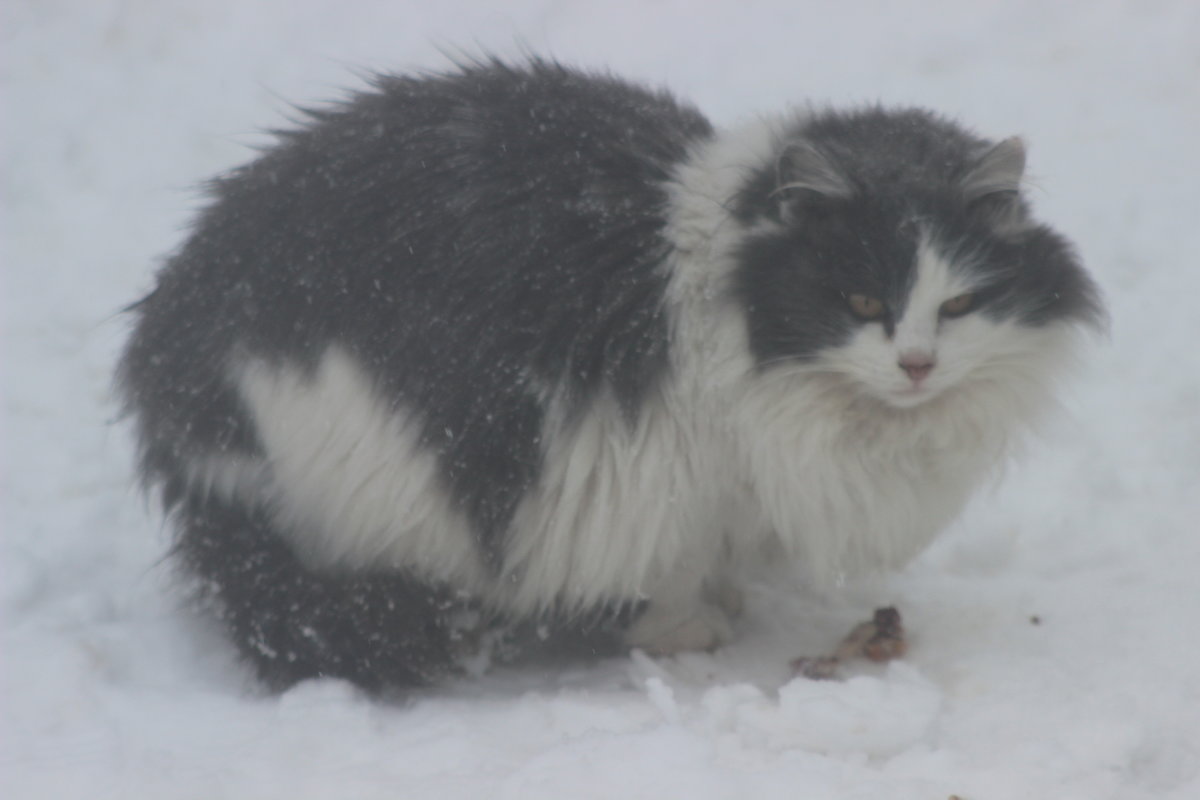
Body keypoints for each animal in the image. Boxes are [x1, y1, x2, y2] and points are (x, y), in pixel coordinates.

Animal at [114, 59, 1104, 690]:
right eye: (862, 301)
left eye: (960, 304)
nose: (917, 363)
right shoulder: (643, 469)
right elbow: (668, 569)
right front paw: (690, 627)